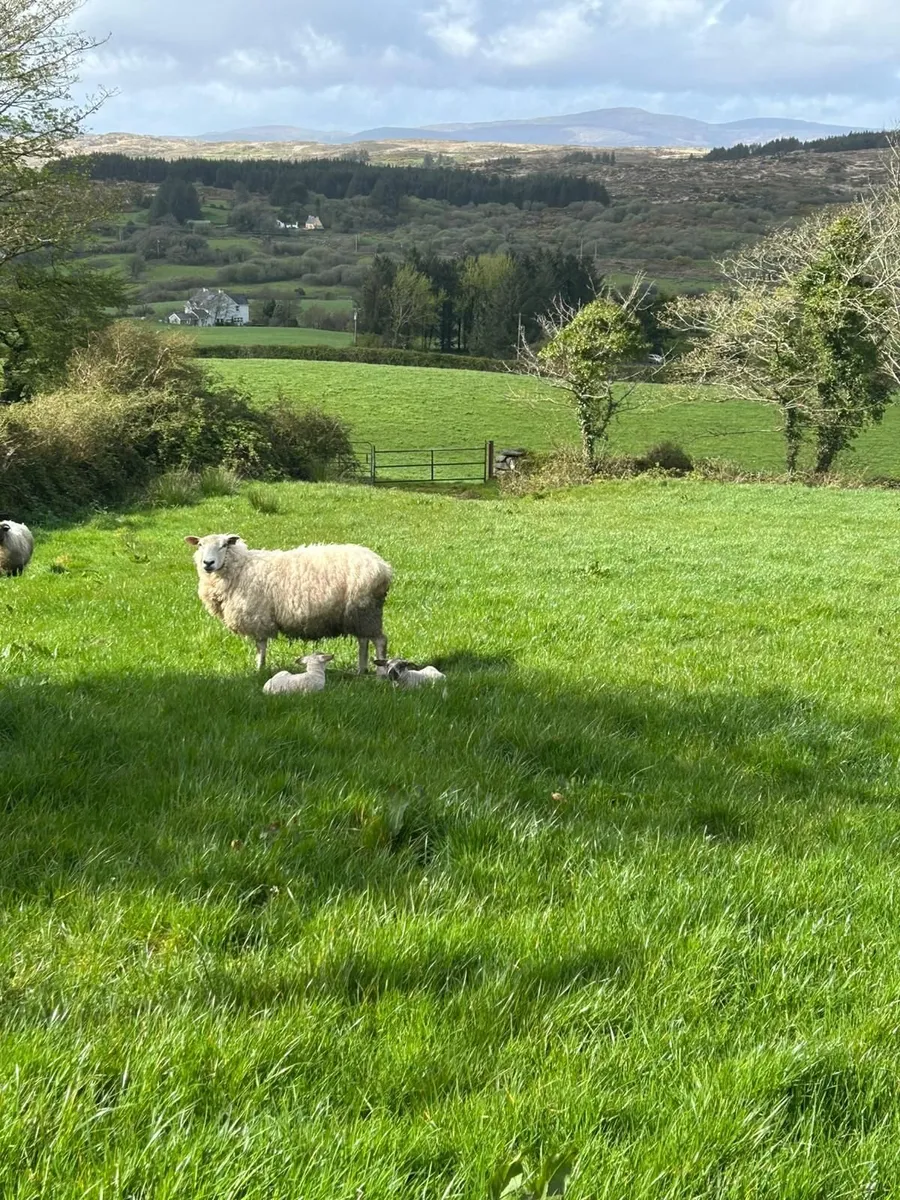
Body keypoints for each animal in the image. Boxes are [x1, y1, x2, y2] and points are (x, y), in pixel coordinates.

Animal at [185, 533, 392, 671]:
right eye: (200, 545)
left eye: (224, 545)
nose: (208, 563)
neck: (240, 568)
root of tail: (384, 567)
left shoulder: (258, 617)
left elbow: (261, 646)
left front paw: (259, 670)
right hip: (359, 614)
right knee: (363, 641)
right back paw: (361, 670)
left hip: (366, 610)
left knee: (380, 641)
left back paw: (380, 673)